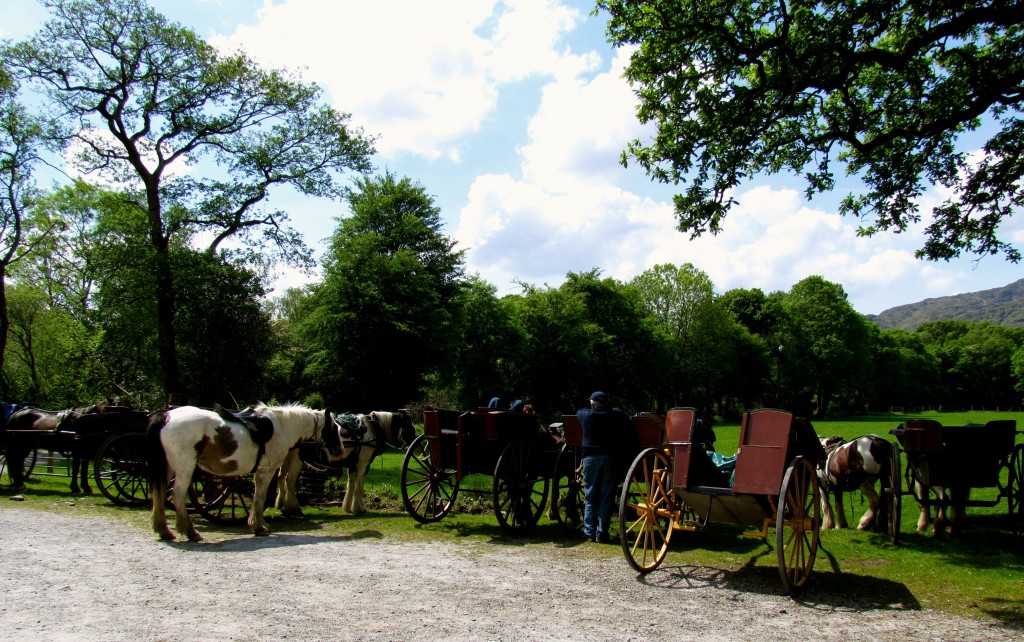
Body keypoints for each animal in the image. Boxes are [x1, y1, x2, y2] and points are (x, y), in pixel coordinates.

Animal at [148, 403, 348, 540]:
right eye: (333, 429)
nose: (340, 451)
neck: (282, 427)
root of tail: (166, 416)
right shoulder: (266, 472)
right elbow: (260, 497)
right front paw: (258, 527)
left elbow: (259, 497)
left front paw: (259, 523)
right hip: (185, 469)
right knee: (177, 496)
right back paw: (190, 532)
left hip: (168, 468)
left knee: (160, 494)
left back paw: (164, 531)